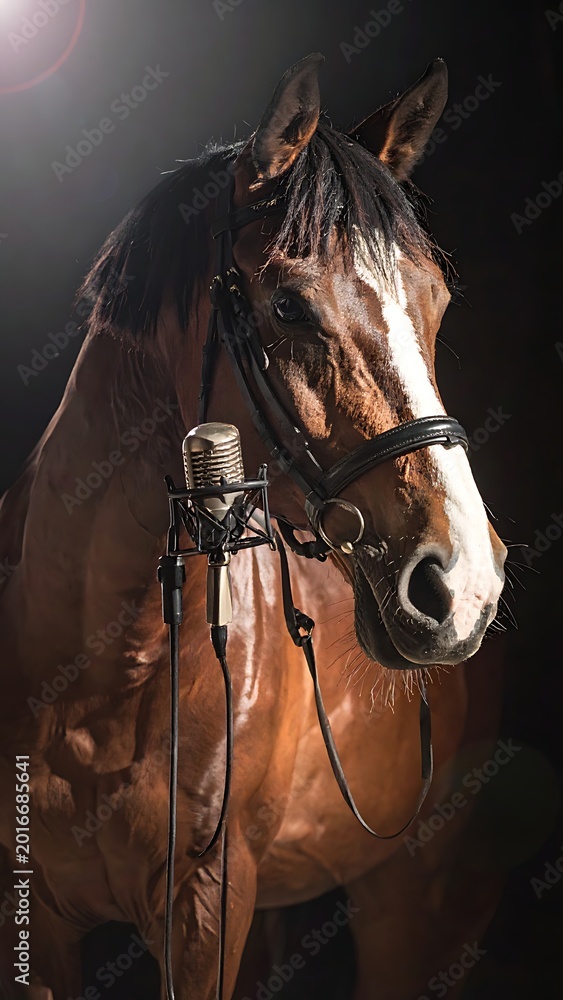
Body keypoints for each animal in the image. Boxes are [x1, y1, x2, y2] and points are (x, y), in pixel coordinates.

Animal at [0, 53, 507, 1000]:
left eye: (437, 301)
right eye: (288, 306)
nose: (463, 585)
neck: (99, 675)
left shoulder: (205, 903)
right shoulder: (34, 918)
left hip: (407, 885)